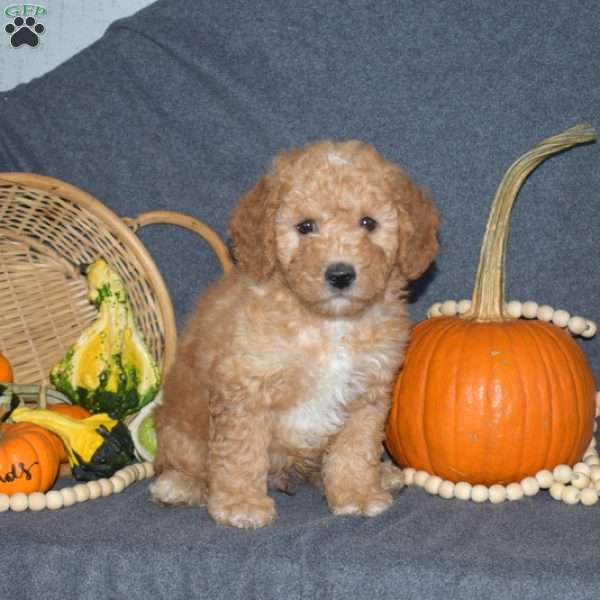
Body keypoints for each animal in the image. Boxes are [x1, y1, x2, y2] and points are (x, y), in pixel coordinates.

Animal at [150, 138, 440, 528]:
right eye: (305, 227)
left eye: (368, 223)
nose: (340, 274)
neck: (328, 324)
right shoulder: (245, 389)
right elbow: (240, 454)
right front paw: (240, 503)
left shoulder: (368, 391)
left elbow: (355, 449)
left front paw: (357, 493)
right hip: (179, 432)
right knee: (182, 462)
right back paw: (180, 486)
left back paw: (383, 474)